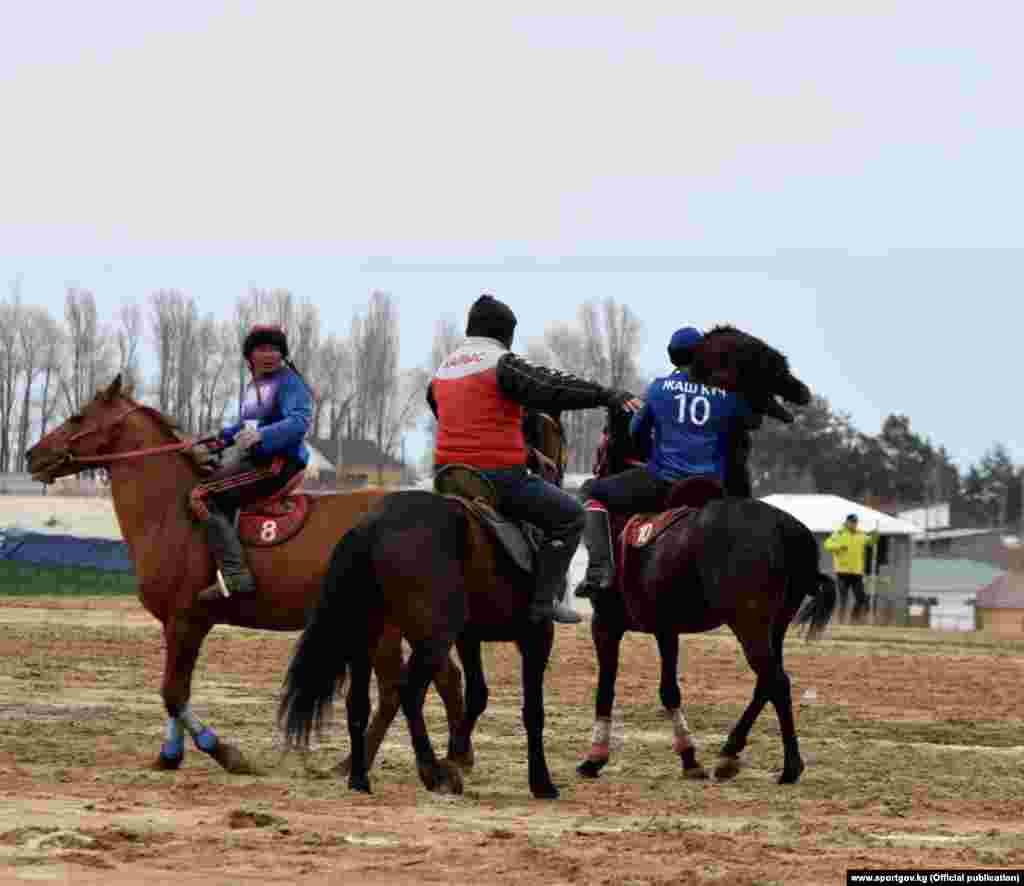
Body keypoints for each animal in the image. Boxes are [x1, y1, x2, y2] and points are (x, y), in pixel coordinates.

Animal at [24, 372, 466, 774]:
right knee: (437, 679)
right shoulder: (176, 624)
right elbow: (178, 692)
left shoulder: (187, 620)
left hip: (394, 623)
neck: (172, 514)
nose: (31, 454)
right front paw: (170, 753)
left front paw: (224, 752)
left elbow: (173, 693)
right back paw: (446, 760)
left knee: (405, 687)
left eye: (78, 417)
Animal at [577, 327, 831, 786]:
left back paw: (788, 765)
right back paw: (731, 753)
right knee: (766, 682)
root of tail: (790, 531)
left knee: (776, 680)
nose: (800, 390)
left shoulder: (606, 623)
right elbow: (668, 688)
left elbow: (606, 687)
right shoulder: (666, 626)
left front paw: (595, 757)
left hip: (749, 621)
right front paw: (689, 755)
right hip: (775, 623)